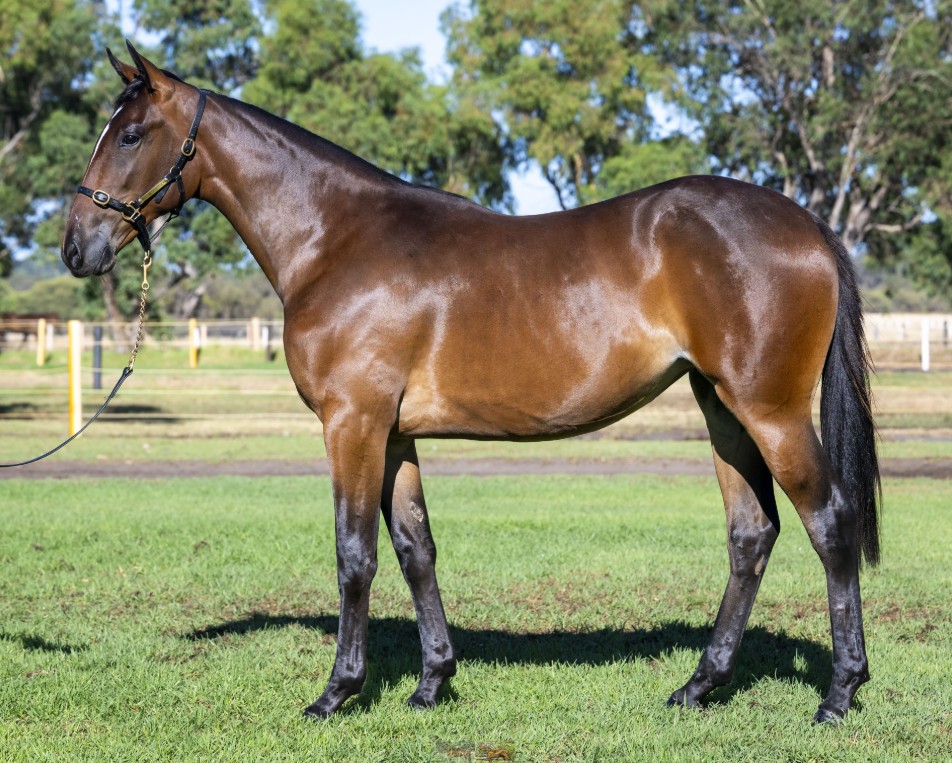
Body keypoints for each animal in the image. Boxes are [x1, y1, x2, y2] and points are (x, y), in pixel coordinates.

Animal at [62, 43, 880, 724]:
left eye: (130, 135)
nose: (76, 246)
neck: (336, 239)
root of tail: (807, 224)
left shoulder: (352, 422)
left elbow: (354, 553)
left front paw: (337, 692)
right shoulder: (394, 434)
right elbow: (414, 547)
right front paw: (432, 682)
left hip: (770, 411)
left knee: (831, 523)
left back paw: (840, 693)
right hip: (722, 409)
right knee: (752, 534)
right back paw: (699, 685)